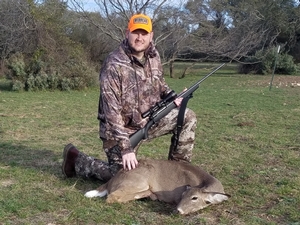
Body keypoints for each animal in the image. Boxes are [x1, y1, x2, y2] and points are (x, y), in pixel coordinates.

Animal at [84, 158, 230, 214]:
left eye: (194, 198)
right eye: (182, 195)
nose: (177, 210)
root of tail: (113, 178)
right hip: (139, 181)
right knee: (111, 196)